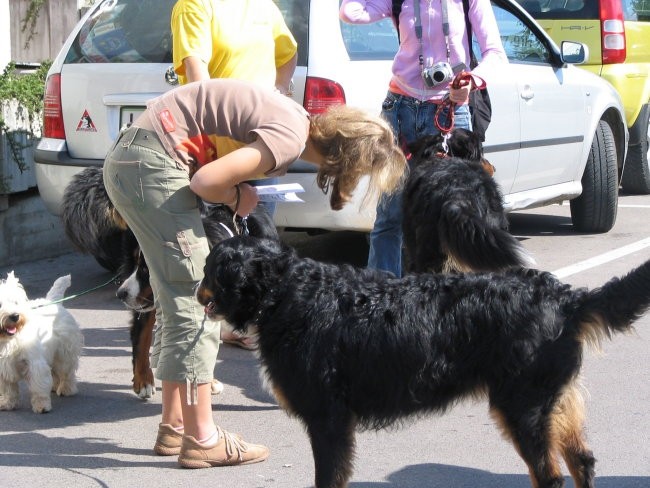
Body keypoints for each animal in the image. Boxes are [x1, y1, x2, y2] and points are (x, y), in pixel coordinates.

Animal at [0, 272, 83, 414]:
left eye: (15, 302)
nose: (15, 316)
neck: (8, 340)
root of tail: (52, 301)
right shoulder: (4, 369)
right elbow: (8, 389)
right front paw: (7, 404)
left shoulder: (35, 363)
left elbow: (38, 386)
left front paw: (42, 406)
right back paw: (55, 387)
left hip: (63, 353)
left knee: (67, 371)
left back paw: (66, 389)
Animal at [196, 236, 648, 488]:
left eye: (211, 269)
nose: (197, 292)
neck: (290, 292)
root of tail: (565, 297)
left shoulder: (328, 419)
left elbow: (328, 477)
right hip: (553, 401)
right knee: (582, 461)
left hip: (525, 407)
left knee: (549, 476)